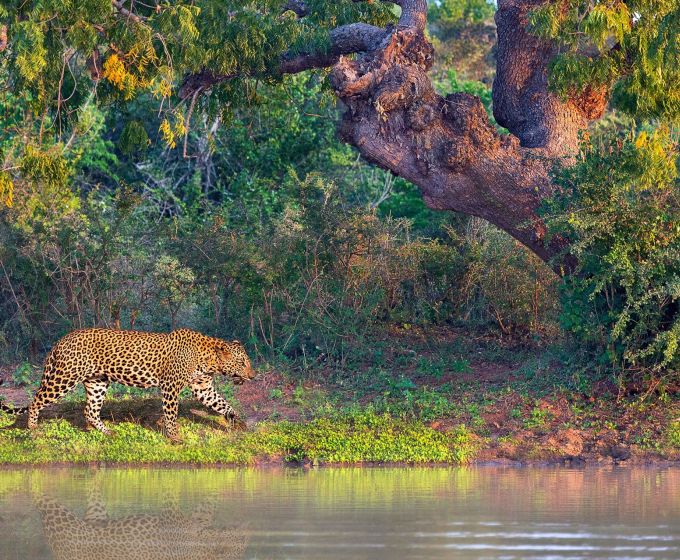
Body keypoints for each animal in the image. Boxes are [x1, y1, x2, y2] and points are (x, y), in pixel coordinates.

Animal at [0, 327, 256, 441]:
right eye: (243, 362)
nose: (253, 376)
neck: (208, 359)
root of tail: (60, 340)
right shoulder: (170, 386)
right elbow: (171, 413)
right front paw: (174, 437)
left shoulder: (203, 387)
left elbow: (223, 404)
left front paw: (238, 423)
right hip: (64, 378)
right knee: (36, 400)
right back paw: (33, 429)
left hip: (97, 382)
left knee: (90, 410)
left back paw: (105, 432)